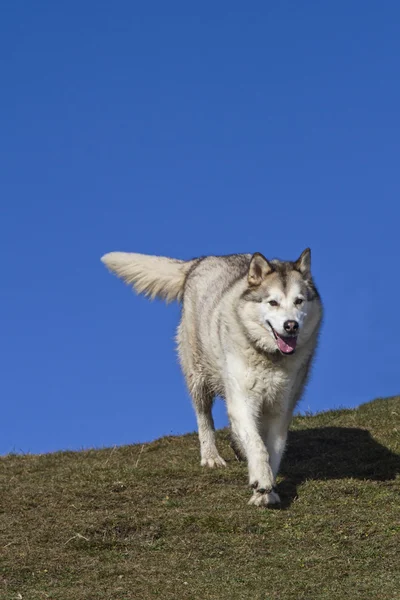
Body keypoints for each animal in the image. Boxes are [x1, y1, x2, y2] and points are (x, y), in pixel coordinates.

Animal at [102, 248, 322, 506]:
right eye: (273, 302)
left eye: (299, 301)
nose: (291, 325)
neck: (269, 358)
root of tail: (201, 261)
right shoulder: (242, 400)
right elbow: (258, 446)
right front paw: (262, 480)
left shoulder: (281, 409)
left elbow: (273, 450)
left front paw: (267, 492)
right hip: (199, 377)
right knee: (204, 418)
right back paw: (211, 456)